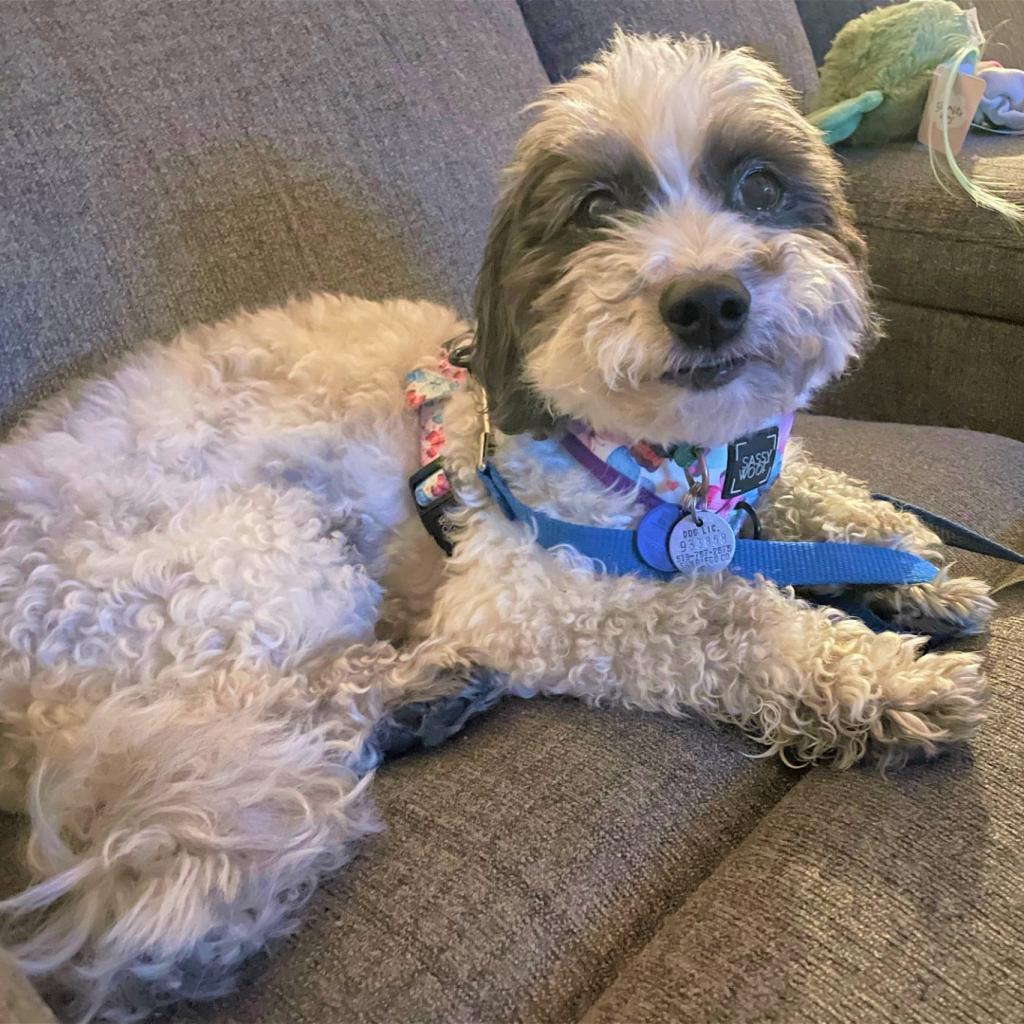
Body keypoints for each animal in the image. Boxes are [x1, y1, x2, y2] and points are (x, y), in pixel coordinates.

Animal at [0, 32, 991, 1024]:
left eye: (757, 186)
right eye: (598, 209)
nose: (707, 298)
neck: (673, 456)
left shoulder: (745, 494)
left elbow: (817, 497)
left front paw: (911, 567)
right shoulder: (529, 594)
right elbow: (726, 618)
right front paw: (885, 678)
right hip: (256, 553)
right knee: (284, 709)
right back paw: (426, 685)